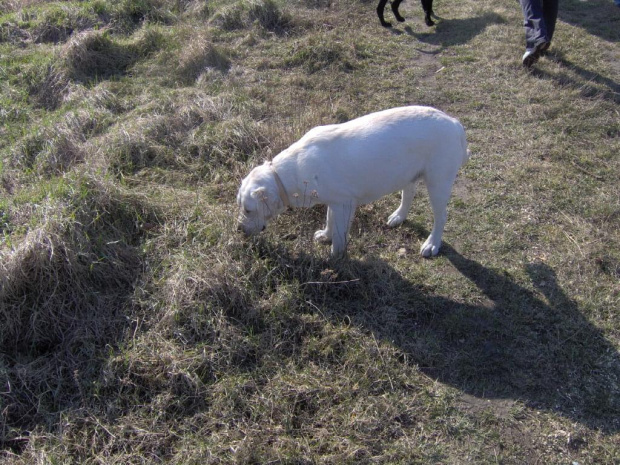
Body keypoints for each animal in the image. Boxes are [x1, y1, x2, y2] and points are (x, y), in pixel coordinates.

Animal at [237, 105, 470, 258]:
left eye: (248, 210)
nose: (238, 229)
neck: (283, 175)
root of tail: (455, 123)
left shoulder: (344, 205)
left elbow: (340, 236)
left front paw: (335, 257)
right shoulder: (335, 202)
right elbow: (330, 221)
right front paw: (325, 235)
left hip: (438, 183)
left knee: (441, 217)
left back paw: (432, 243)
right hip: (407, 173)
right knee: (409, 193)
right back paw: (399, 216)